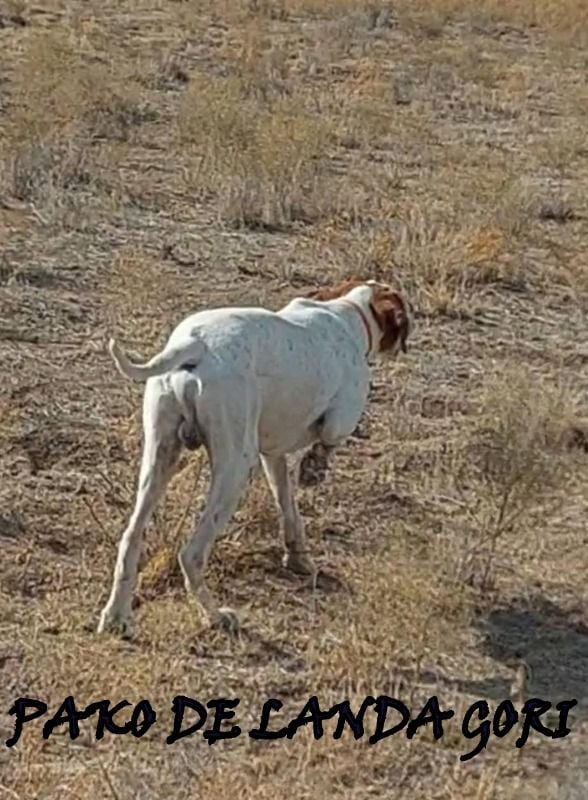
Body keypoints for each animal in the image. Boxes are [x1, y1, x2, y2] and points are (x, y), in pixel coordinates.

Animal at [96, 278, 408, 636]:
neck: (348, 311)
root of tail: (196, 345)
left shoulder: (272, 457)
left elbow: (289, 508)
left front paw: (298, 557)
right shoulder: (341, 417)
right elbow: (328, 441)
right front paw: (314, 468)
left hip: (160, 457)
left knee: (131, 537)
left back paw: (116, 616)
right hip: (235, 468)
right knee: (191, 555)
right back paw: (215, 616)